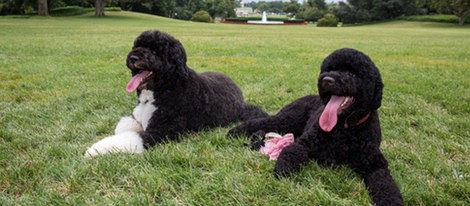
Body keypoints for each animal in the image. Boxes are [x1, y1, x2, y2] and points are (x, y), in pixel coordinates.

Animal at [85, 30, 268, 156]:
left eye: (155, 51)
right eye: (138, 46)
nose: (133, 58)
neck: (163, 89)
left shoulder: (162, 131)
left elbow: (131, 137)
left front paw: (95, 149)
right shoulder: (138, 116)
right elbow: (124, 126)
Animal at [228, 48, 404, 204]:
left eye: (352, 73)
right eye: (330, 69)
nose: (327, 80)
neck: (343, 129)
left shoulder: (375, 164)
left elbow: (386, 185)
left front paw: (391, 201)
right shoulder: (304, 144)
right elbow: (291, 152)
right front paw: (282, 172)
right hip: (287, 120)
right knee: (261, 122)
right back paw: (233, 132)